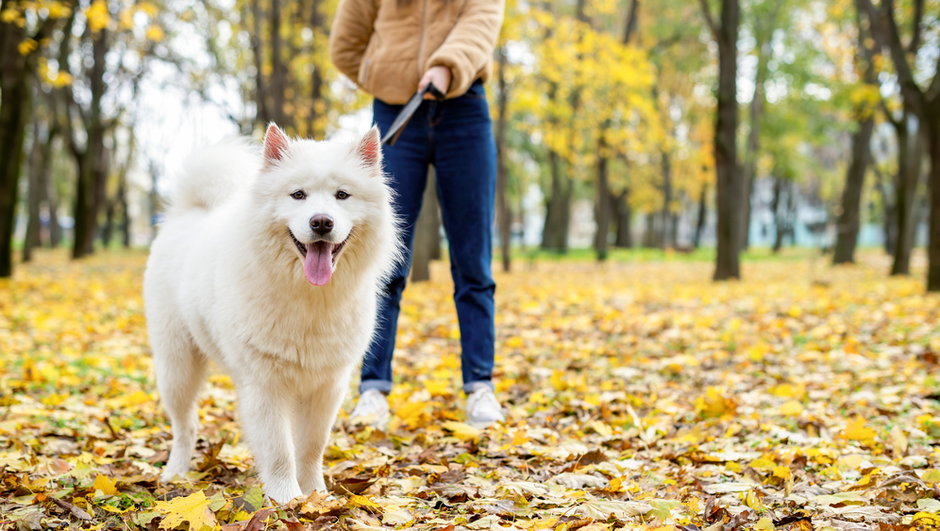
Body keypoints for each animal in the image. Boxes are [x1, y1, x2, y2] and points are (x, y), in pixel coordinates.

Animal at [142, 124, 396, 502]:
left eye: (342, 195)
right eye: (298, 195)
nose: (322, 222)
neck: (309, 297)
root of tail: (189, 213)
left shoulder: (326, 386)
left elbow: (311, 447)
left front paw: (316, 496)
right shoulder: (266, 386)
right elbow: (279, 451)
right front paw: (287, 498)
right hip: (177, 366)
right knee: (185, 425)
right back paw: (175, 473)